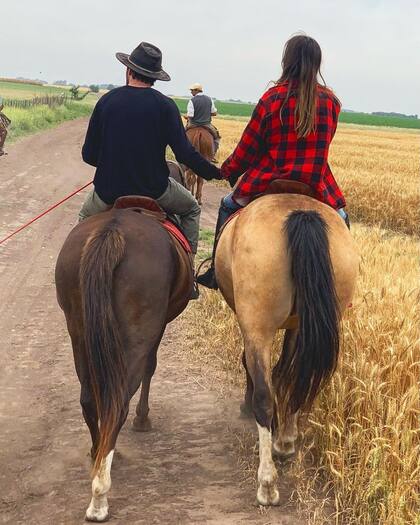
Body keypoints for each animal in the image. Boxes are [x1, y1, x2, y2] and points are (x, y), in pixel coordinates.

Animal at [55, 197, 192, 521]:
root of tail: (112, 231)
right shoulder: (157, 327)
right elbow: (151, 367)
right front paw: (143, 418)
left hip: (79, 331)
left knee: (90, 399)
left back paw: (97, 454)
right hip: (137, 334)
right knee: (118, 404)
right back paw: (100, 495)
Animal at [215, 192, 359, 506]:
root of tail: (302, 214)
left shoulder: (250, 326)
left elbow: (252, 368)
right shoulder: (296, 327)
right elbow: (285, 374)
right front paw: (285, 433)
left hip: (257, 324)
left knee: (264, 395)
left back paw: (267, 484)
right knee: (298, 380)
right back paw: (285, 442)